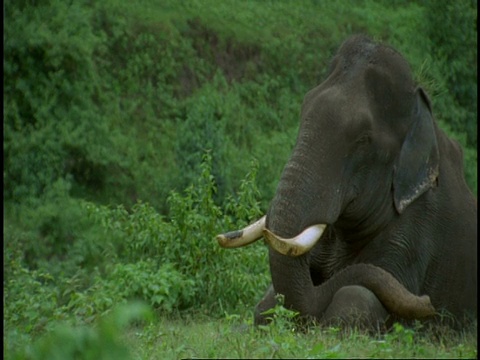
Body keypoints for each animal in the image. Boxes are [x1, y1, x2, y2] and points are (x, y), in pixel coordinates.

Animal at [217, 34, 476, 330]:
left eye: (363, 139)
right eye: (303, 111)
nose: (428, 304)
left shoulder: (416, 233)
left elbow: (357, 297)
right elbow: (267, 302)